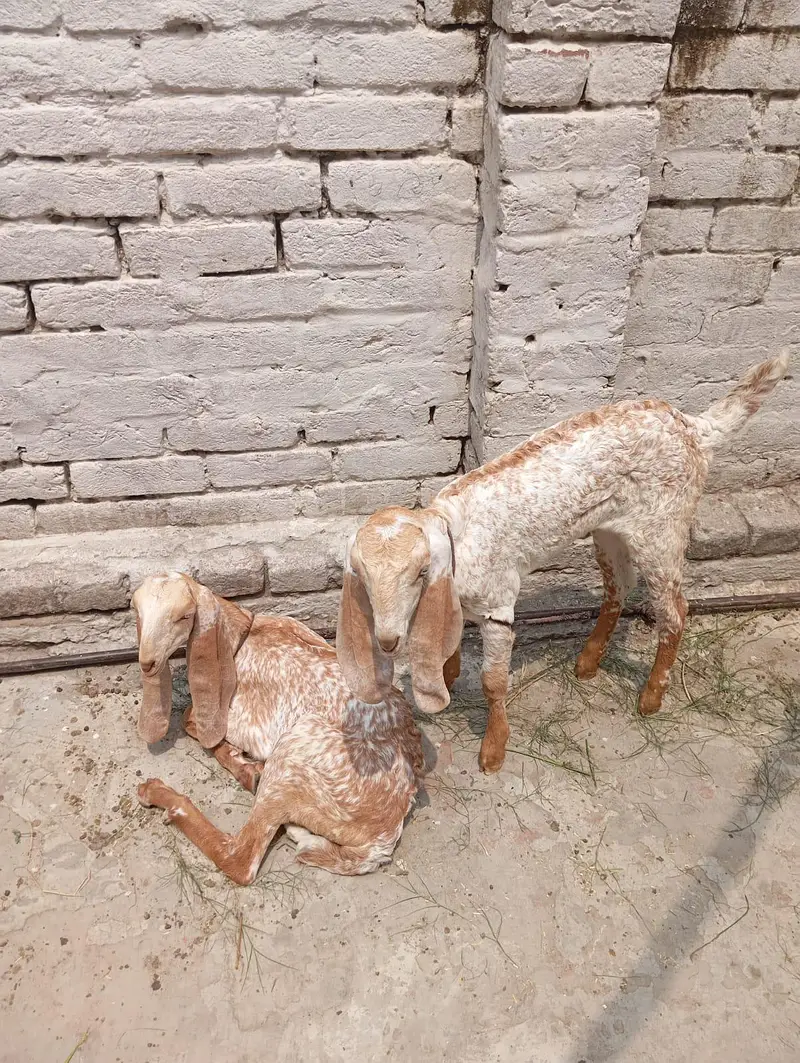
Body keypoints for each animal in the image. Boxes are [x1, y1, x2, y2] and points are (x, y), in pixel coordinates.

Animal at [133, 573, 423, 885]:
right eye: (138, 613)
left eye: (184, 616)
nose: (147, 663)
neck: (241, 636)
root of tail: (386, 831)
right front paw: (245, 766)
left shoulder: (244, 722)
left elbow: (189, 720)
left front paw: (242, 765)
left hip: (293, 752)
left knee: (239, 859)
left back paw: (160, 795)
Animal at [336, 354, 790, 774]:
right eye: (364, 578)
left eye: (419, 573)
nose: (387, 640)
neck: (456, 534)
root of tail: (693, 427)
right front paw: (447, 678)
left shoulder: (498, 604)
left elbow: (493, 682)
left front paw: (494, 750)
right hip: (610, 530)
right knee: (618, 587)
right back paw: (587, 663)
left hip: (663, 529)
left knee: (675, 610)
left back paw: (650, 697)